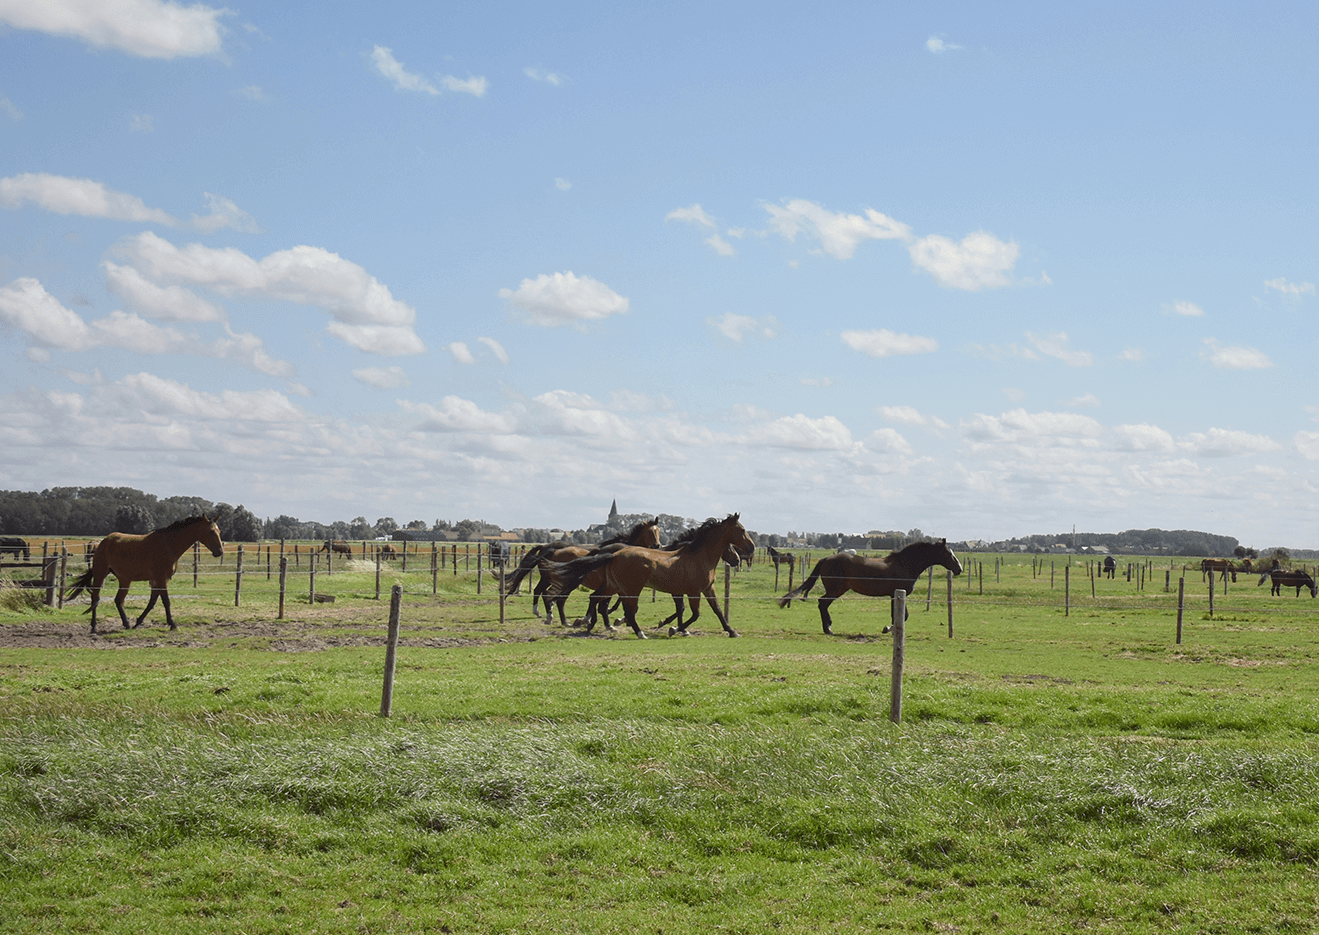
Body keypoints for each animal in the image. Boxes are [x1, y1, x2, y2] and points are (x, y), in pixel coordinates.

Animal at [64, 514, 224, 630]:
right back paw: (94, 627)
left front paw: (138, 622)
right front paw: (172, 624)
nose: (220, 552)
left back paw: (126, 624)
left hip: (124, 579)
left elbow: (153, 601)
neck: (169, 545)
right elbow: (165, 601)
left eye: (219, 531)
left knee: (118, 600)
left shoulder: (160, 580)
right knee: (95, 598)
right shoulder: (161, 578)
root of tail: (103, 542)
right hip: (100, 574)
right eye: (211, 531)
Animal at [543, 514, 754, 638]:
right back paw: (636, 632)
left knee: (596, 599)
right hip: (630, 589)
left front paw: (731, 631)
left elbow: (717, 610)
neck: (699, 556)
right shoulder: (692, 592)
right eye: (742, 530)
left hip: (613, 586)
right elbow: (693, 614)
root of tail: (614, 554)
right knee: (624, 609)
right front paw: (673, 629)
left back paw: (588, 624)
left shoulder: (706, 589)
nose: (750, 549)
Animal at [775, 540, 965, 635]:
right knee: (822, 603)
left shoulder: (895, 595)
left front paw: (890, 629)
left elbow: (901, 616)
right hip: (836, 590)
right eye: (948, 553)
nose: (959, 569)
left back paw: (828, 627)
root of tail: (826, 558)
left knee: (823, 604)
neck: (905, 564)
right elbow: (902, 616)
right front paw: (888, 629)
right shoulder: (896, 594)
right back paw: (828, 629)